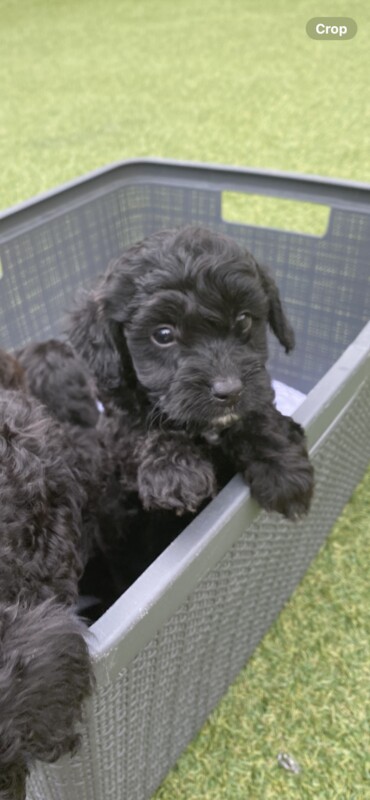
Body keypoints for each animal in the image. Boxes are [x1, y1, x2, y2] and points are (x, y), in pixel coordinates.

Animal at [68, 228, 314, 520]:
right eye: (163, 335)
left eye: (244, 320)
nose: (230, 391)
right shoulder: (120, 432)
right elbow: (143, 429)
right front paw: (175, 472)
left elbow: (257, 411)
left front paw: (283, 467)